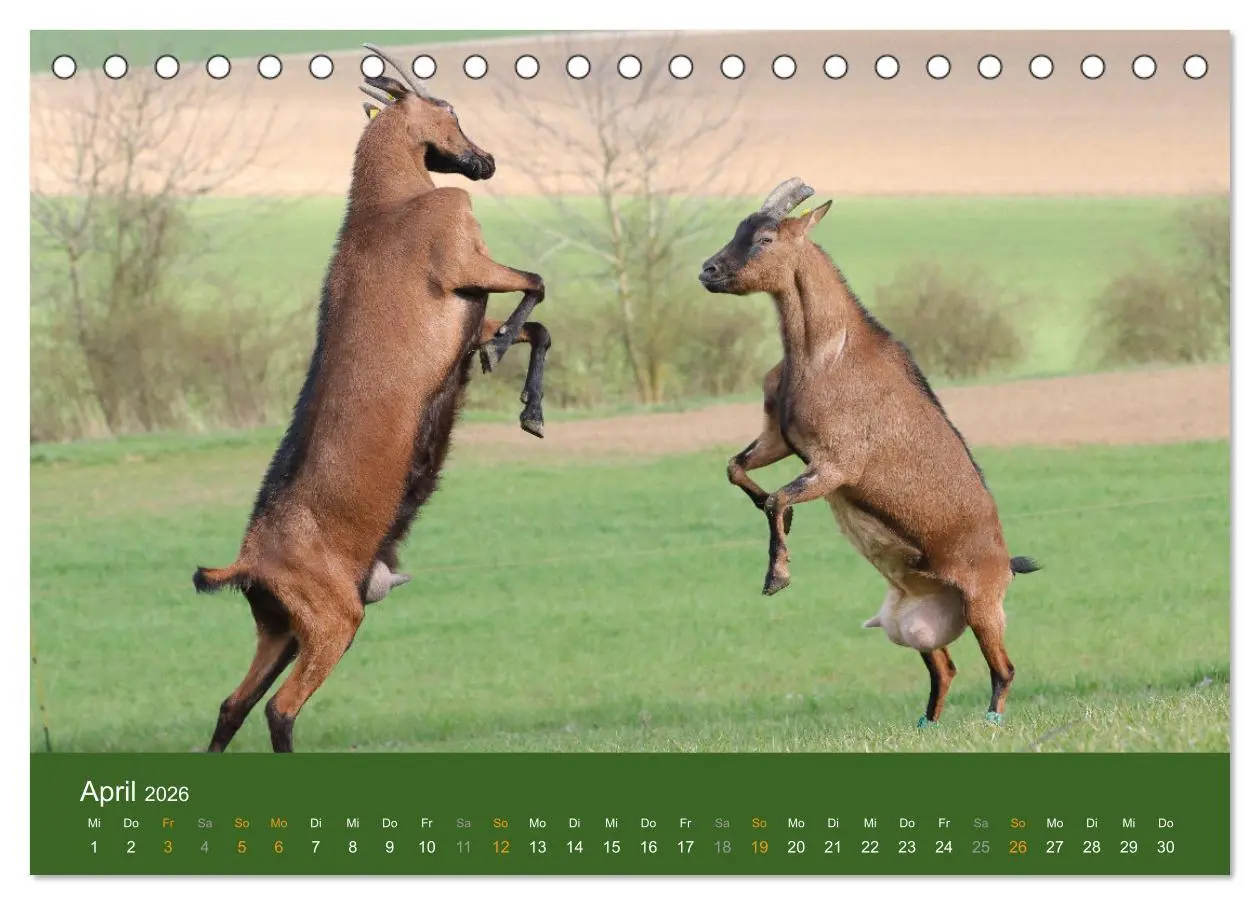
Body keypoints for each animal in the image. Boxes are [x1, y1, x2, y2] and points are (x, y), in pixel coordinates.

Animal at [192, 44, 551, 752]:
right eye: (448, 107)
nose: (486, 161)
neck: (390, 204)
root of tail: (246, 562)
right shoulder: (464, 262)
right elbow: (537, 285)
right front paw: (505, 359)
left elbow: (539, 326)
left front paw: (530, 408)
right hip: (332, 619)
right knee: (280, 709)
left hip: (279, 628)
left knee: (232, 704)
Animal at [699, 178, 1040, 727]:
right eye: (739, 229)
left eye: (766, 238)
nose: (707, 271)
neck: (827, 352)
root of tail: (1006, 562)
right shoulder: (780, 438)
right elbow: (738, 471)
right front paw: (780, 528)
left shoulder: (836, 464)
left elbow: (777, 497)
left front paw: (777, 577)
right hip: (918, 620)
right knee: (944, 668)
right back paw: (926, 724)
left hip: (983, 604)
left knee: (1003, 669)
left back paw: (991, 720)